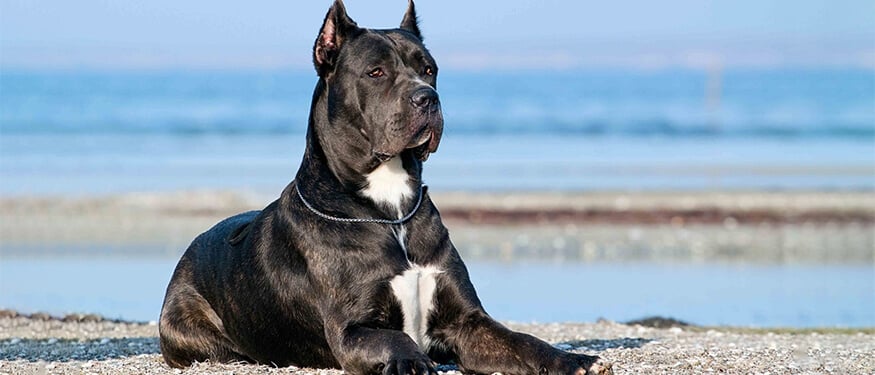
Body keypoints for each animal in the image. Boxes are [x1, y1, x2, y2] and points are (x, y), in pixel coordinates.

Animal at [163, 1, 616, 374]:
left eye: (430, 69)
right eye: (375, 72)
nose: (427, 98)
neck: (390, 208)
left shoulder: (468, 322)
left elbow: (521, 340)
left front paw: (575, 359)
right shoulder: (352, 330)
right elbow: (394, 337)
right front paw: (412, 362)